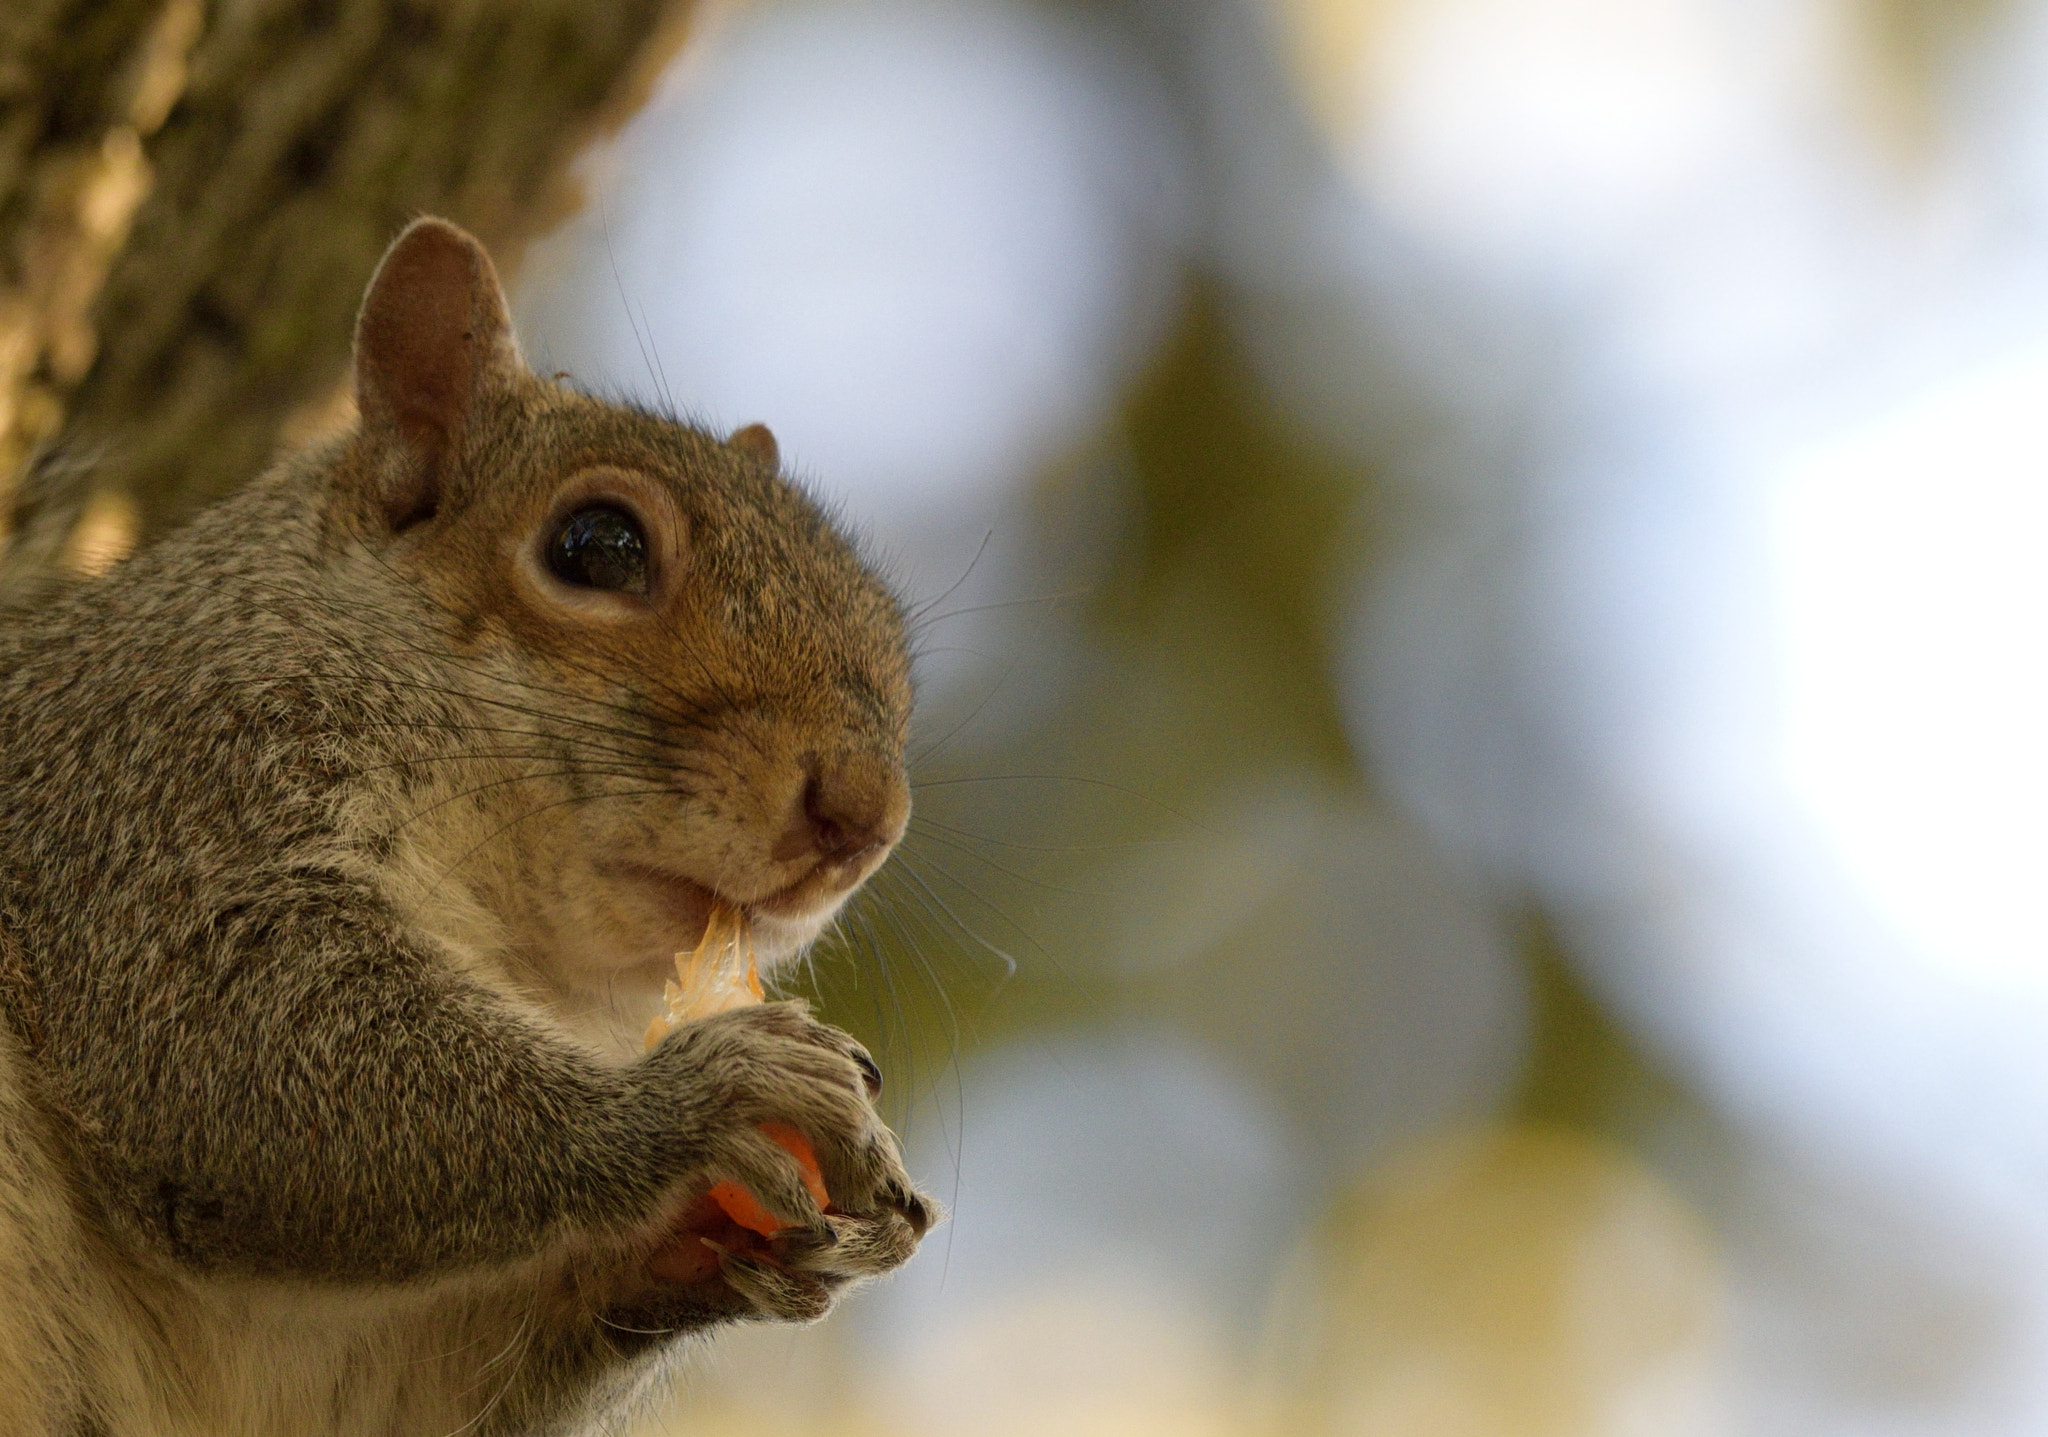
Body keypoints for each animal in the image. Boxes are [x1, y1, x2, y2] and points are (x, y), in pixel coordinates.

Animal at [0, 216, 937, 1437]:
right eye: (599, 545)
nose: (865, 817)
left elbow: (375, 1389)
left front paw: (699, 1241)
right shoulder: (149, 793)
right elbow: (223, 1032)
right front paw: (700, 1102)